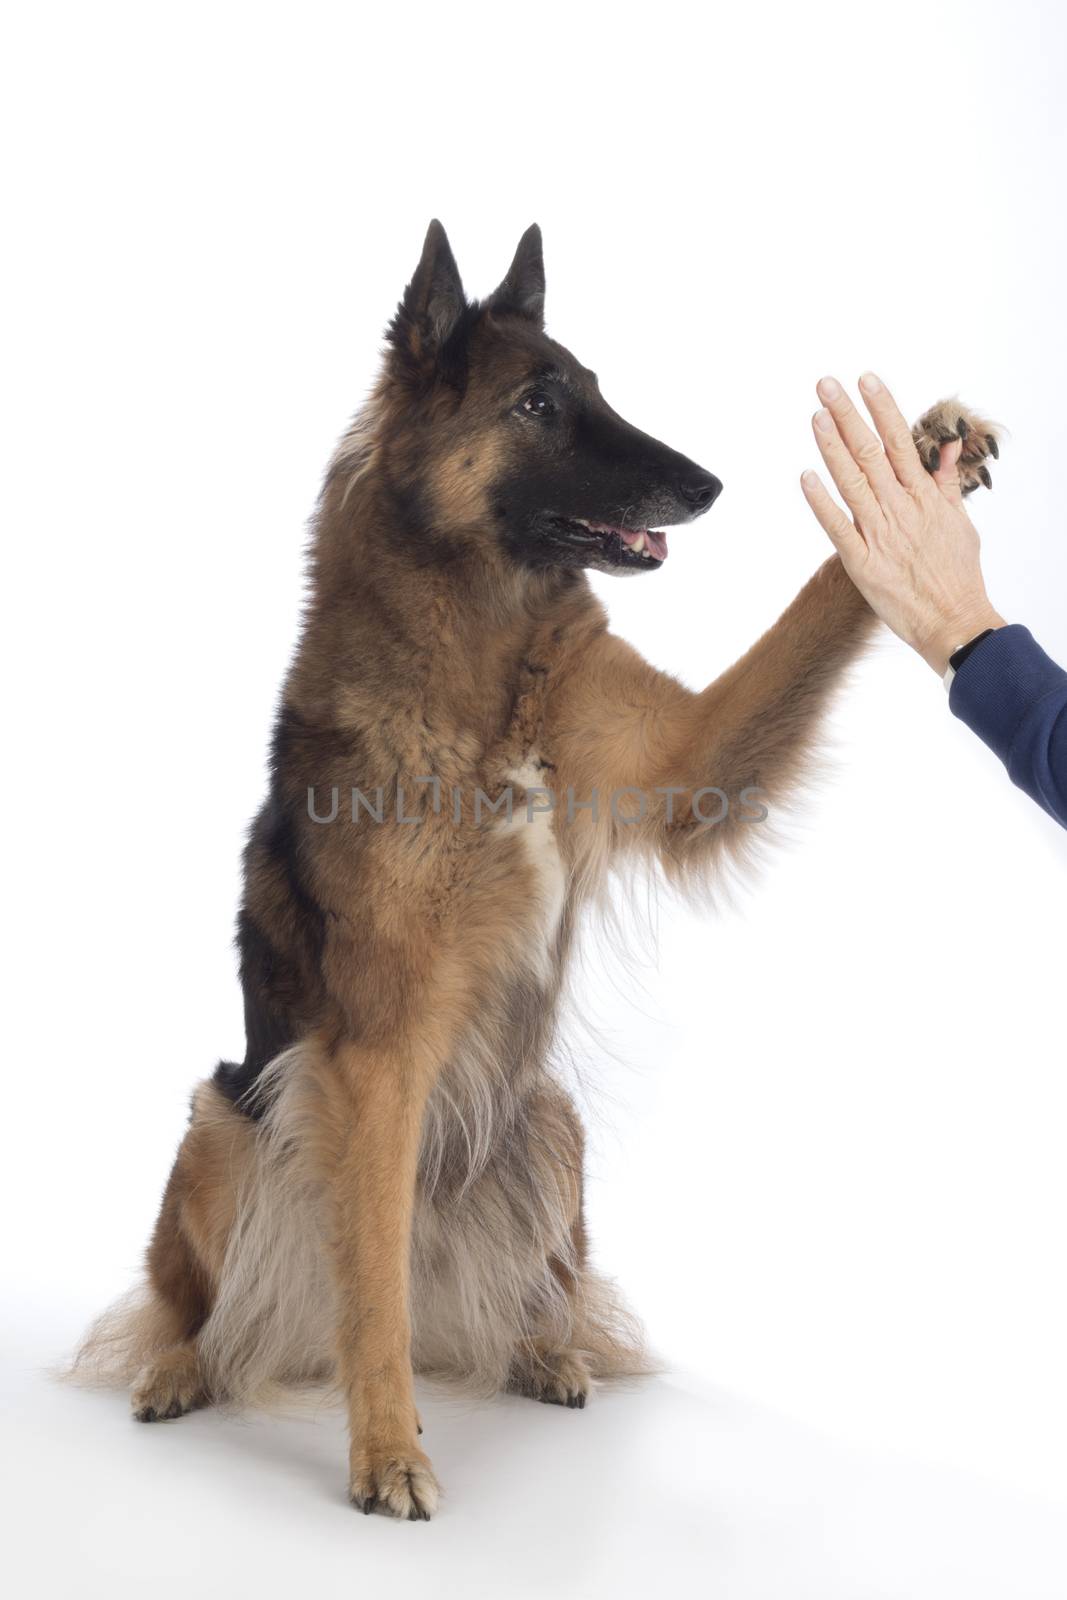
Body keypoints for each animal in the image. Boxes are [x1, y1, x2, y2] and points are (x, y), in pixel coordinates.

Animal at [75, 222, 1004, 1510]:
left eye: (598, 388)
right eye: (537, 403)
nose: (707, 485)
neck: (489, 663)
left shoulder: (687, 762)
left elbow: (814, 611)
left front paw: (922, 465)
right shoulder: (374, 1058)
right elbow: (371, 1288)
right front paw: (387, 1452)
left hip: (547, 1122)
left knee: (524, 1283)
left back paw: (539, 1348)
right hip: (226, 1122)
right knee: (191, 1305)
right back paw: (176, 1371)